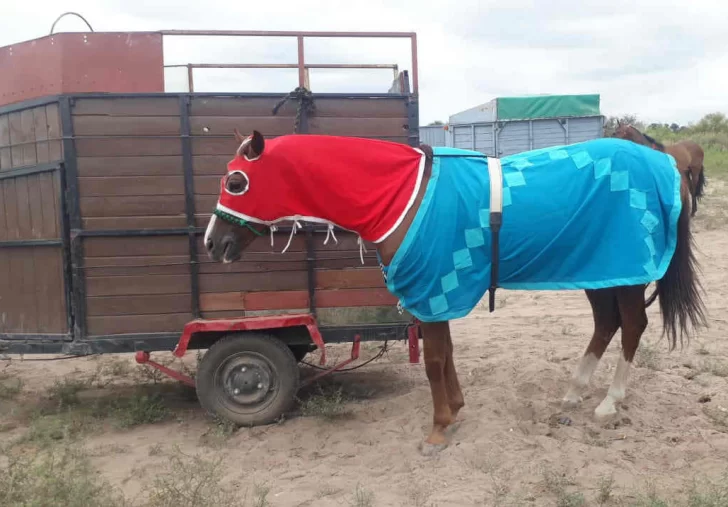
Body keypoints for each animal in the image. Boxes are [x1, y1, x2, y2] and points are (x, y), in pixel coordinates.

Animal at [203, 130, 707, 455]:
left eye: (236, 182)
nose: (213, 243)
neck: (405, 197)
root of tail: (666, 162)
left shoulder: (433, 290)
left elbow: (433, 361)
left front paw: (439, 429)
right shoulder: (436, 292)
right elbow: (444, 354)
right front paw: (456, 409)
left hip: (627, 273)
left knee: (632, 325)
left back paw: (609, 402)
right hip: (599, 270)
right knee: (608, 323)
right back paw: (574, 393)